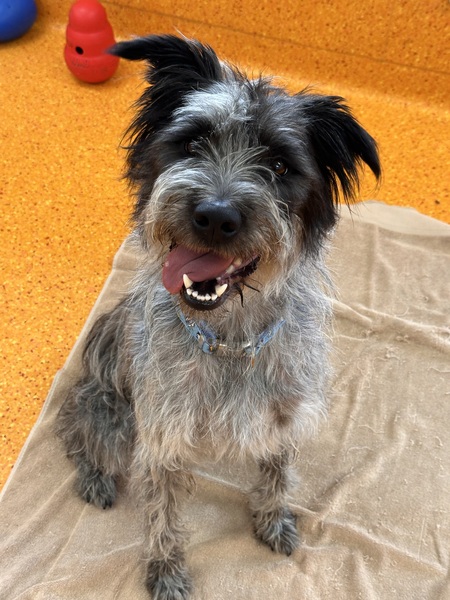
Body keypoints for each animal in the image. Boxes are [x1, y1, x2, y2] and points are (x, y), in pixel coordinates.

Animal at [56, 34, 380, 599]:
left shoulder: (284, 419)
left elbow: (277, 475)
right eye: (191, 143)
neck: (231, 337)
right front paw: (165, 572)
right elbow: (162, 515)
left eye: (280, 166)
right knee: (78, 431)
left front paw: (272, 520)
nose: (214, 216)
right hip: (111, 414)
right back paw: (94, 476)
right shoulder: (161, 440)